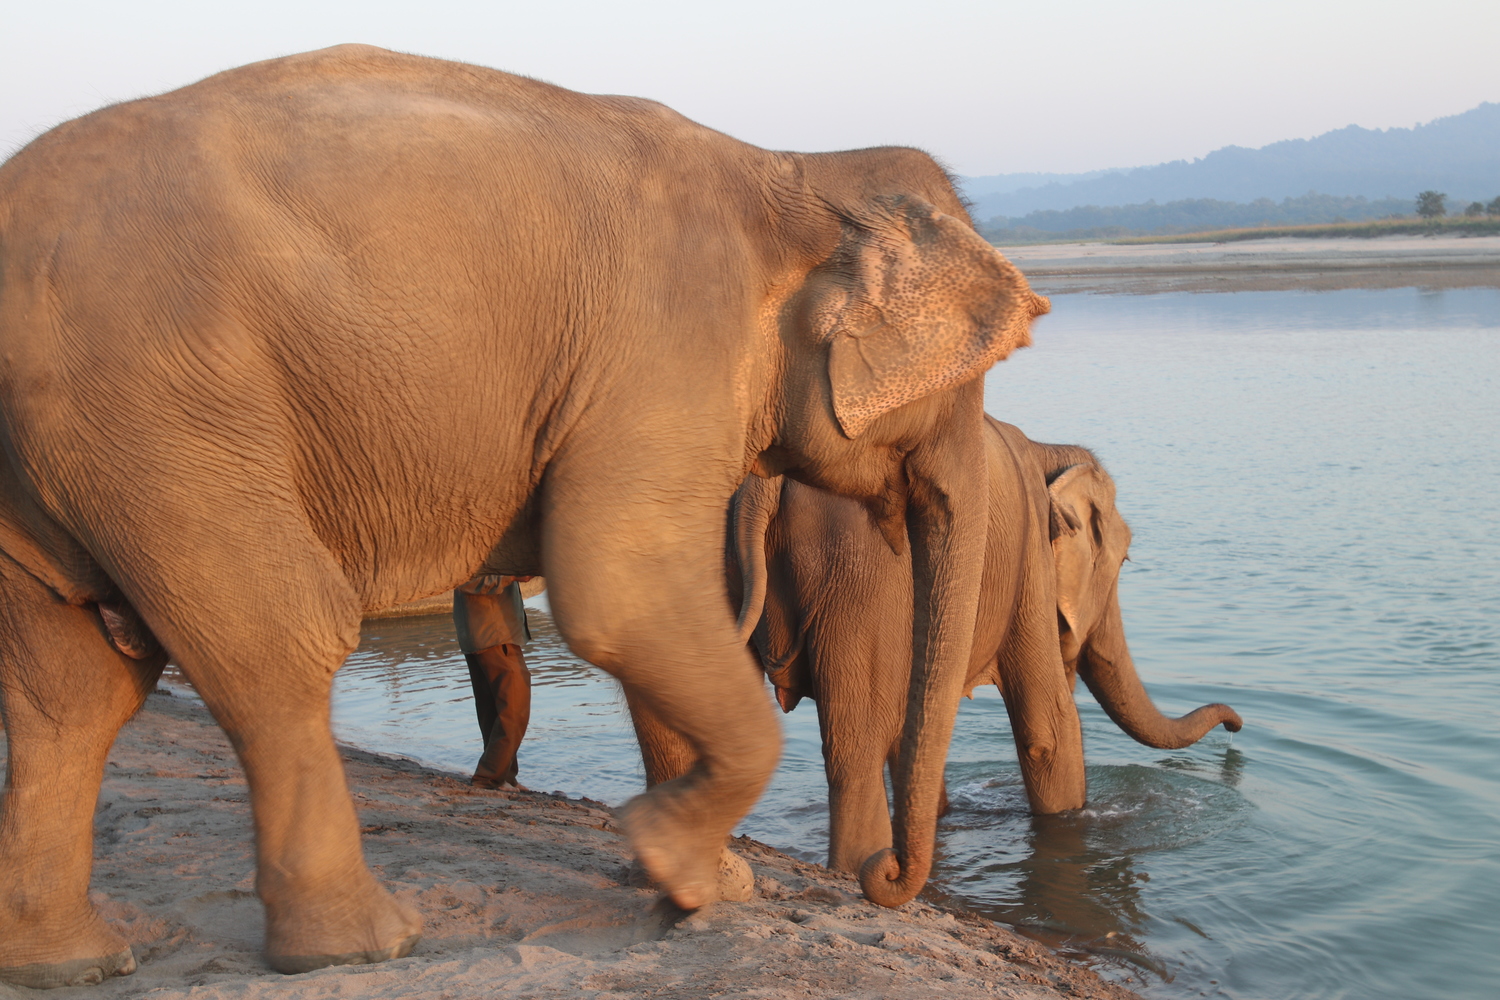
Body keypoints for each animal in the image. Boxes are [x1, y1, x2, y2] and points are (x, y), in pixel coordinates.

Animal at [0, 45, 1049, 986]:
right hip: (161, 415)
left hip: (61, 455)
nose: (885, 879)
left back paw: (72, 961)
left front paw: (708, 882)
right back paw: (364, 946)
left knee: (72, 691)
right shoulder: (665, 345)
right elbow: (620, 593)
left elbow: (658, 615)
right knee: (277, 639)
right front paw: (672, 859)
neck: (795, 166)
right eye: (973, 380)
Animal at [713, 417, 1243, 872]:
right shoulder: (1029, 563)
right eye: (1126, 558)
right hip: (856, 571)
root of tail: (761, 483)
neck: (1045, 448)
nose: (1235, 725)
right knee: (854, 750)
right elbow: (1048, 728)